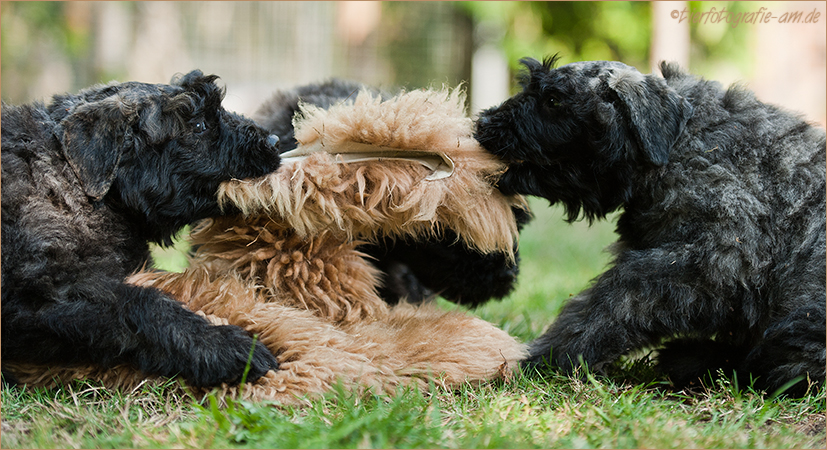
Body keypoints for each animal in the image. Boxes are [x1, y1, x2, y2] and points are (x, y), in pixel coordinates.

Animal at [476, 57, 824, 398]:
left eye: (552, 99)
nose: (482, 124)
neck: (680, 145)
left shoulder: (709, 261)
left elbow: (610, 303)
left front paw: (542, 357)